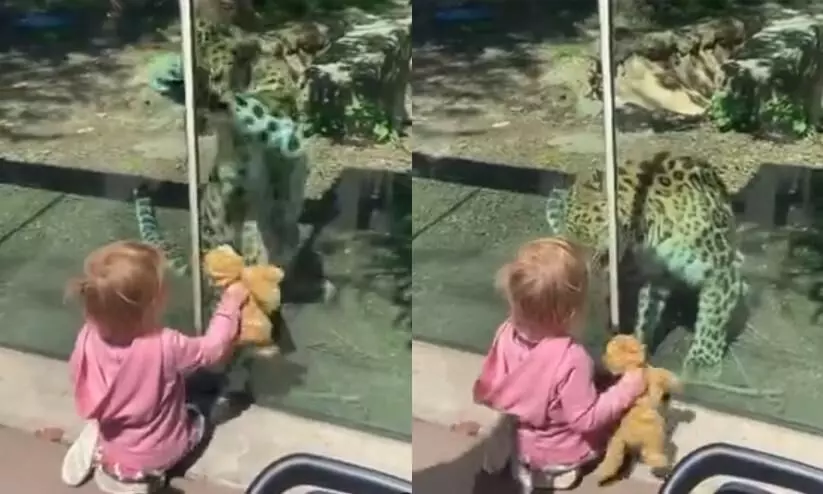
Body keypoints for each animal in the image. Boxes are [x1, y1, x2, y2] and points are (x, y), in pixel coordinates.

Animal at [548, 151, 780, 398]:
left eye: (579, 227)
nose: (569, 261)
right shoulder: (654, 275)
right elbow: (647, 312)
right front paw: (639, 343)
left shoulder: (720, 268)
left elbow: (713, 316)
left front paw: (702, 362)